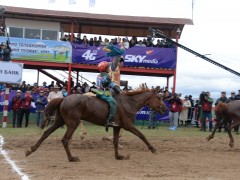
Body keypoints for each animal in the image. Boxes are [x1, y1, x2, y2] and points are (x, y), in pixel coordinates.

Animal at [24, 88, 167, 162]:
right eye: (159, 98)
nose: (165, 108)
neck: (129, 103)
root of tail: (64, 98)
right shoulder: (128, 126)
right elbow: (142, 135)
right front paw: (152, 149)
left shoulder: (117, 127)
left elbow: (115, 142)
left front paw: (118, 156)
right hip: (73, 123)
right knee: (65, 139)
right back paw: (72, 158)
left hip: (60, 121)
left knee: (46, 133)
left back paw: (30, 150)